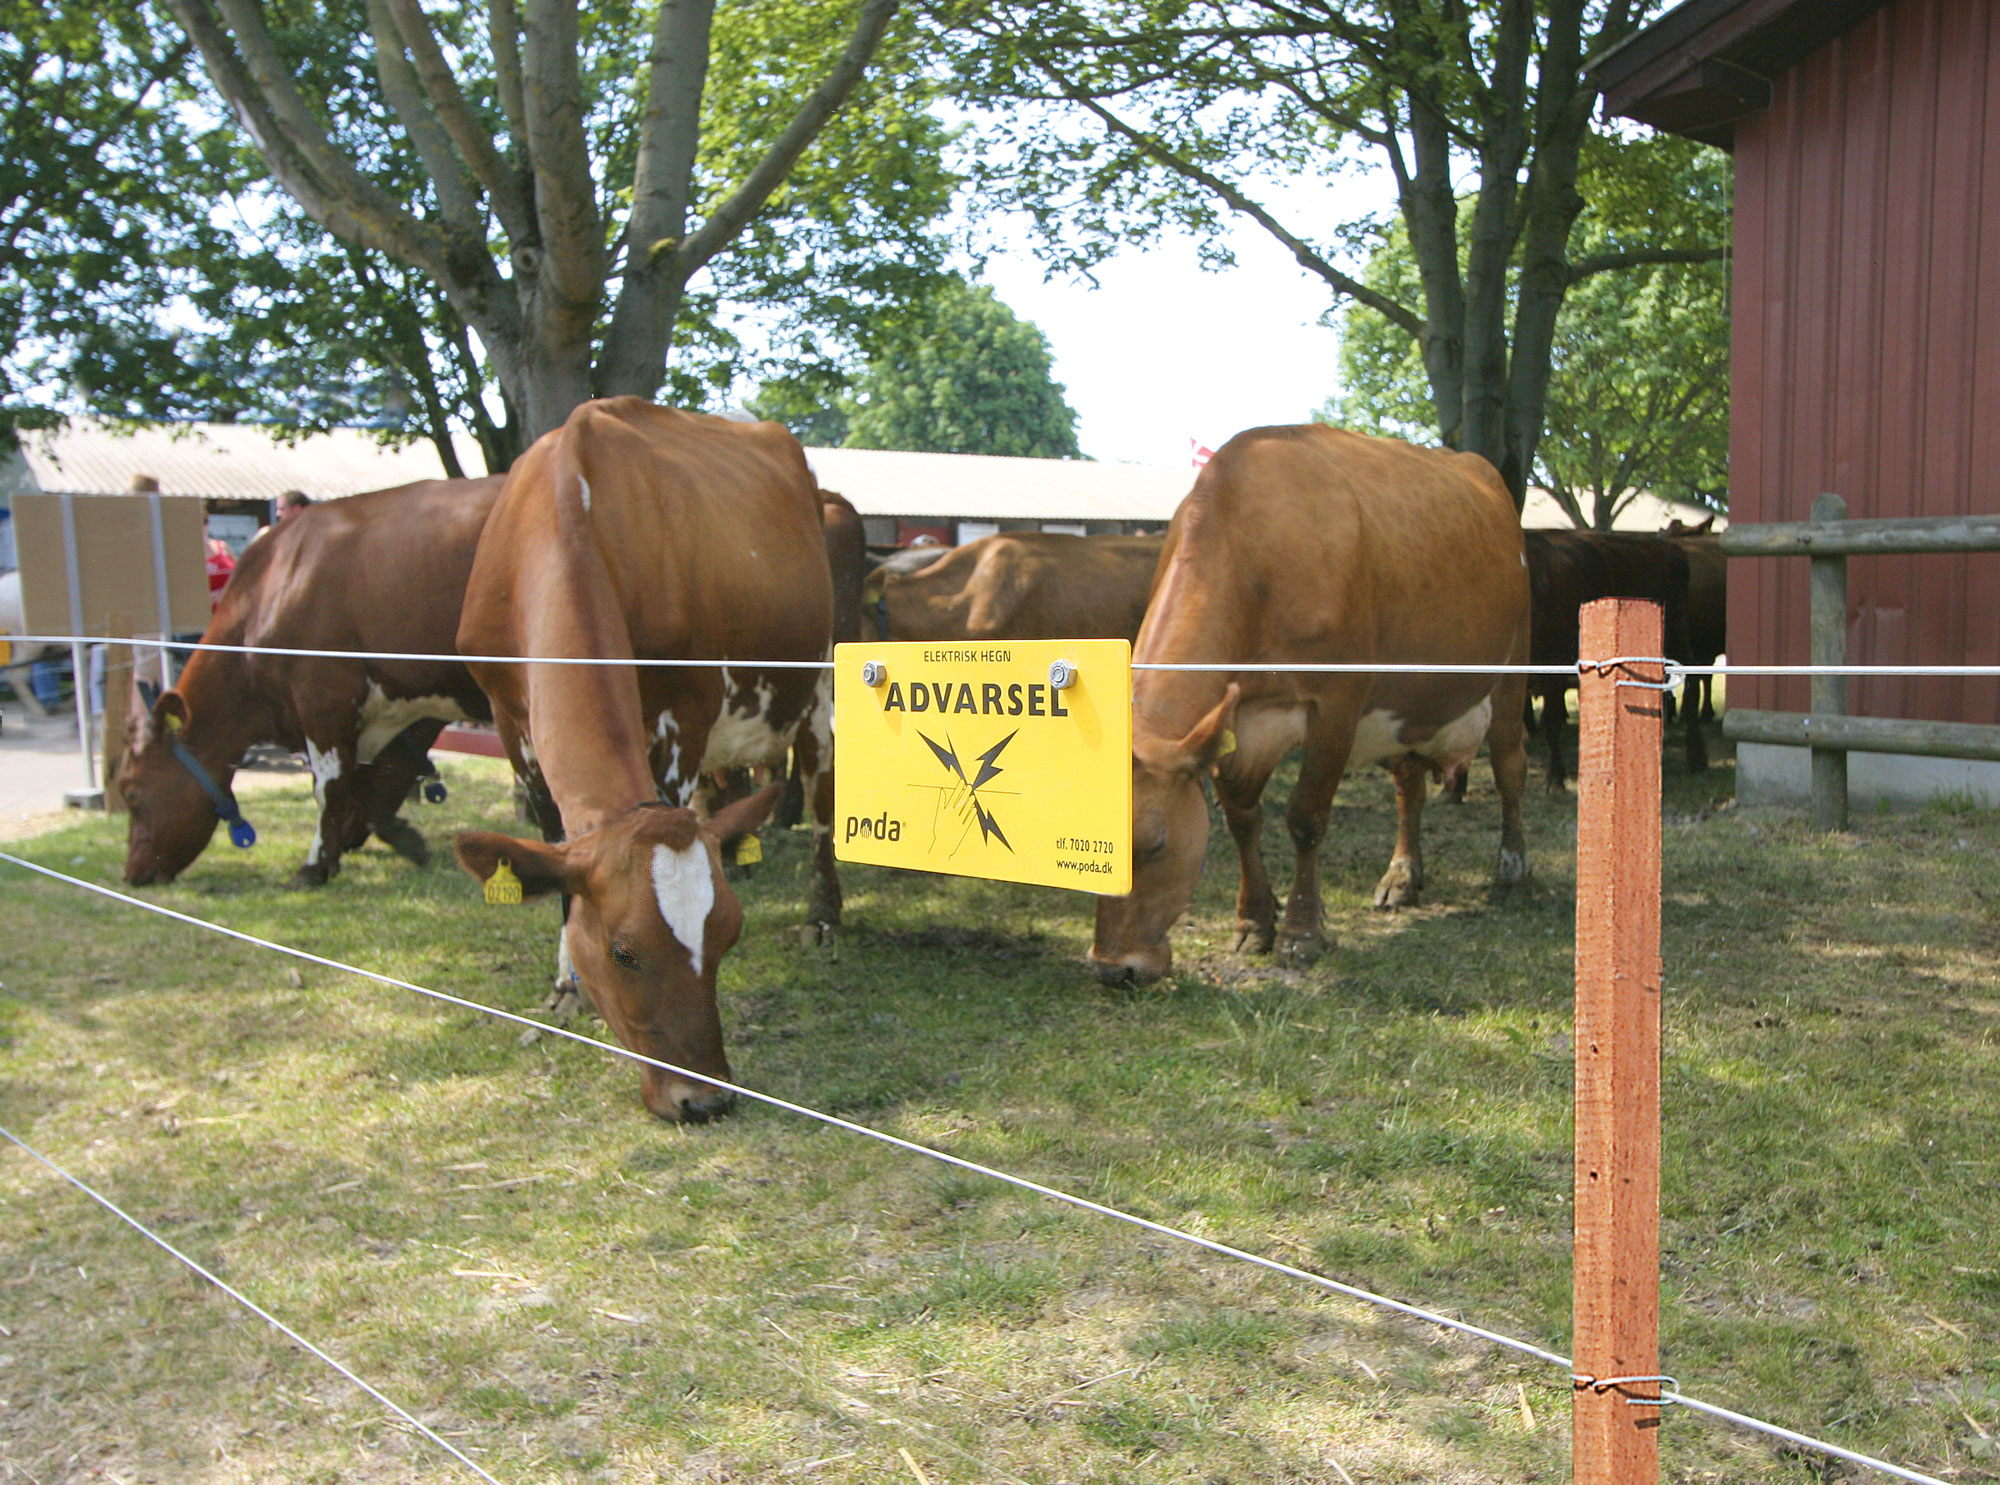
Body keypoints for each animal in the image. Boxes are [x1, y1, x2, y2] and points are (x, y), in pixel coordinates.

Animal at [117, 478, 502, 887]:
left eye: (131, 793)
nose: (130, 873)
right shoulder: (400, 701)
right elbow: (377, 775)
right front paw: (398, 836)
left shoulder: (323, 697)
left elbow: (328, 785)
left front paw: (316, 865)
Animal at [450, 398, 837, 1123]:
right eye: (623, 953)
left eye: (727, 937)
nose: (705, 1098)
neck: (566, 511)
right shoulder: (510, 720)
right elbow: (552, 851)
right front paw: (567, 983)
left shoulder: (684, 710)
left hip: (824, 673)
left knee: (823, 793)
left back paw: (823, 916)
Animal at [1091, 425, 1532, 987]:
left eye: (1154, 845)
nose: (1113, 969)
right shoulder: (1240, 720)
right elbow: (1242, 819)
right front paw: (1254, 921)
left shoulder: (1336, 704)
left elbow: (1306, 817)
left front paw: (1302, 934)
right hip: (1407, 706)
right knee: (1408, 787)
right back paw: (1402, 876)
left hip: (1512, 672)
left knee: (1511, 769)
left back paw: (1512, 873)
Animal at [1521, 529, 1700, 789]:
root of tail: (1666, 546)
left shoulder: (1552, 669)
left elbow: (1550, 723)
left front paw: (1555, 779)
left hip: (1679, 637)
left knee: (1692, 687)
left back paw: (1696, 757)